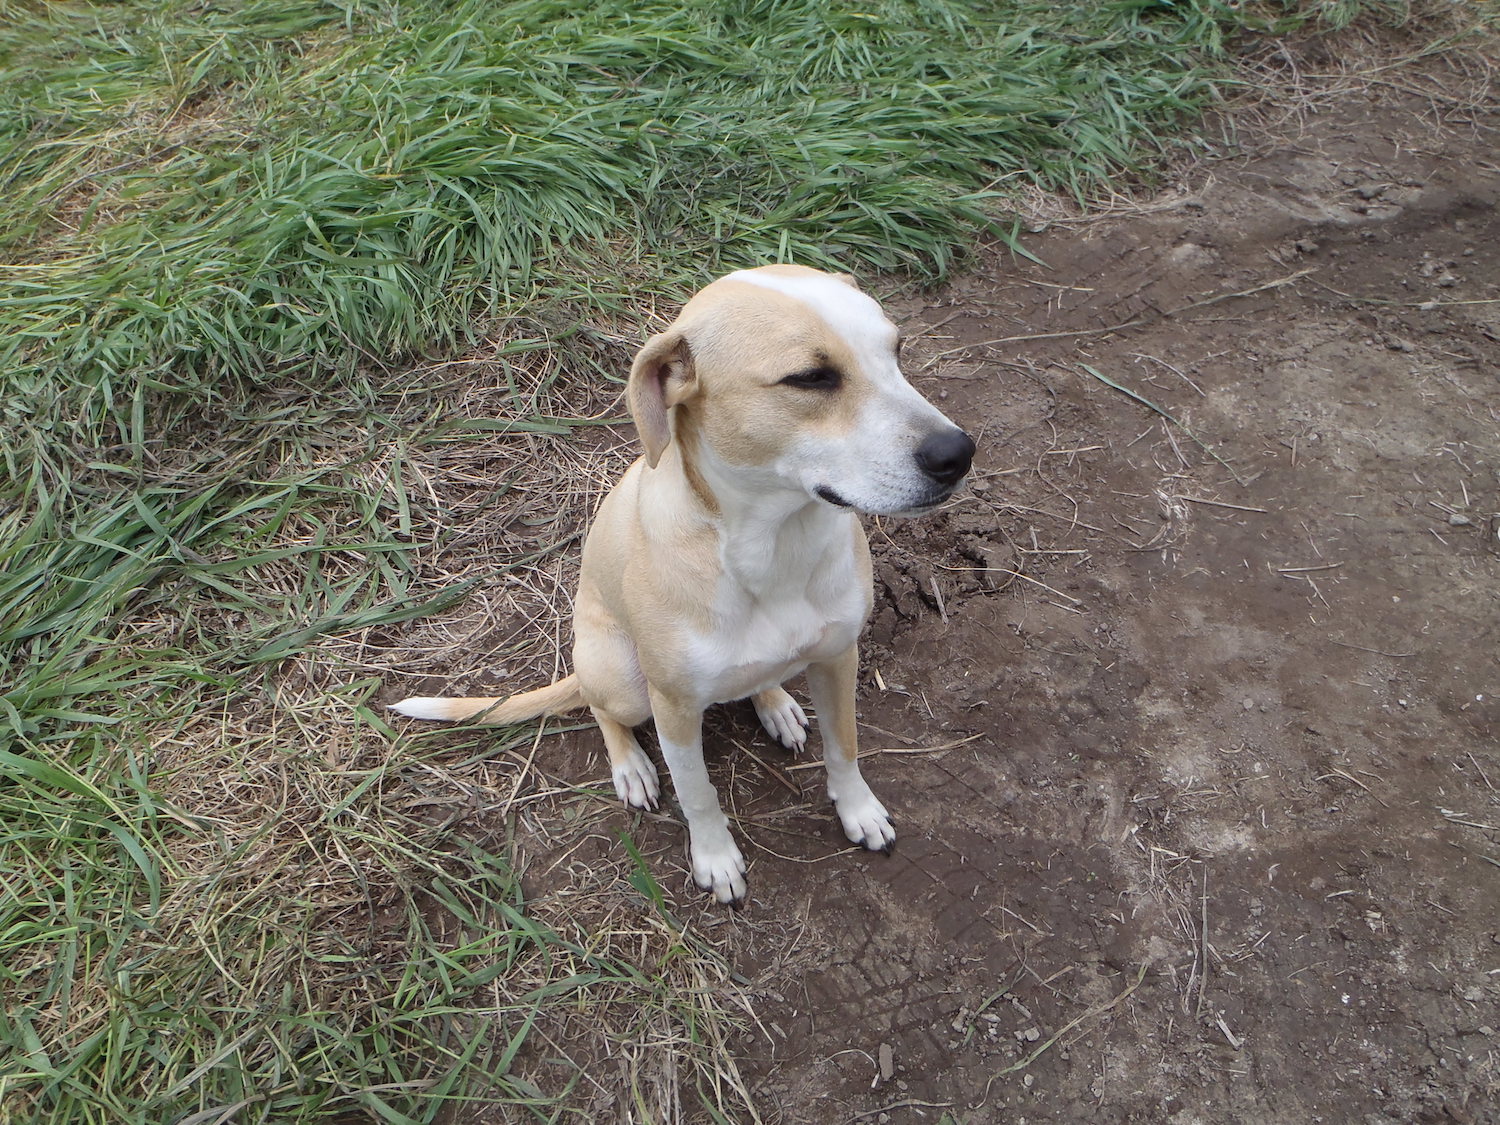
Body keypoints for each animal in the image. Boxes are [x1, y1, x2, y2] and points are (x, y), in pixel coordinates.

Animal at [393, 268, 972, 912]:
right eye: (811, 377)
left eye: (895, 352)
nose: (958, 453)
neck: (773, 545)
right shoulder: (672, 709)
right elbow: (698, 795)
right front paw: (715, 859)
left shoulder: (837, 657)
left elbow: (843, 748)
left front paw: (859, 811)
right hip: (624, 682)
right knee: (601, 709)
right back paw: (632, 767)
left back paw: (775, 703)